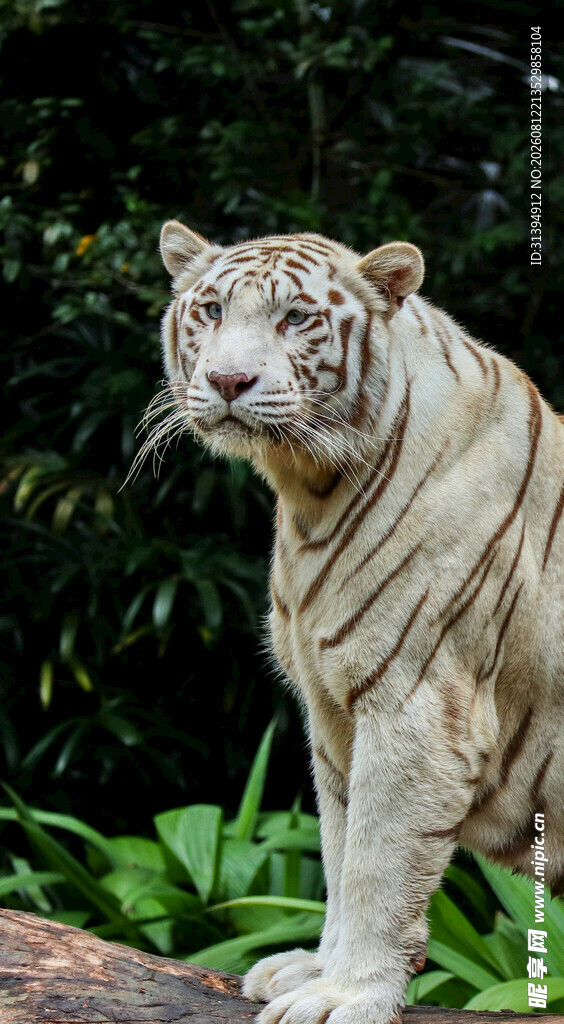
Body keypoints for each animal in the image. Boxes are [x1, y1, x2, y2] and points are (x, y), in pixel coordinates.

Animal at [153, 220, 564, 1024]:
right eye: (212, 311)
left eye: (295, 318)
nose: (228, 382)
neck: (308, 492)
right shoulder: (333, 710)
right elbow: (340, 849)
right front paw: (314, 970)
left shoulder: (416, 708)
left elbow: (378, 863)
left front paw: (344, 995)